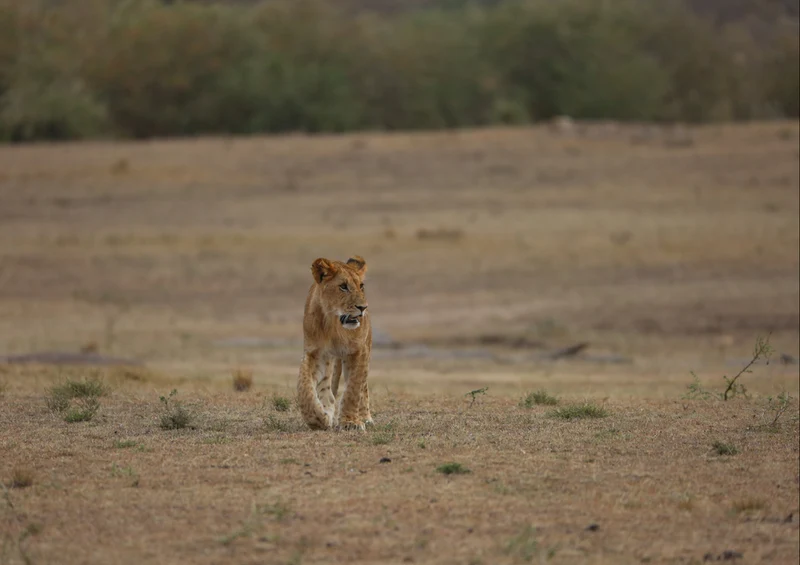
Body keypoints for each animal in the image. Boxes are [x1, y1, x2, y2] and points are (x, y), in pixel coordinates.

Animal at [297, 255, 372, 431]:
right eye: (343, 287)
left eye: (361, 286)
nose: (363, 308)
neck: (334, 325)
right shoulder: (315, 353)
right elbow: (304, 387)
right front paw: (318, 419)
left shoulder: (358, 351)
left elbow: (353, 389)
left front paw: (350, 422)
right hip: (330, 359)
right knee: (326, 387)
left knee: (363, 387)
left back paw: (366, 418)